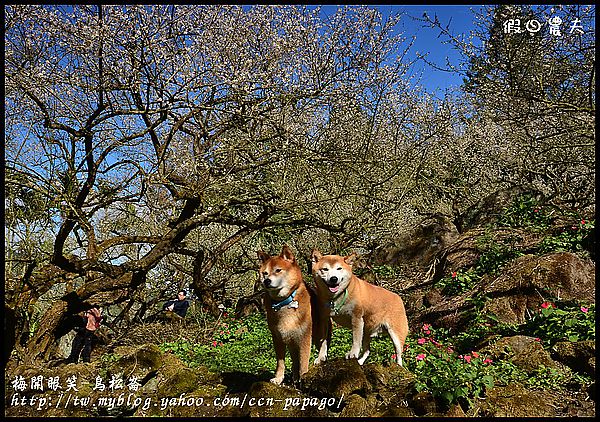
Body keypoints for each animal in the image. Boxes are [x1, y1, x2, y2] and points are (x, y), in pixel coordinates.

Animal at [254, 244, 328, 386]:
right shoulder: (277, 338)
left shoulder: (304, 337)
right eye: (265, 273)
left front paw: (303, 379)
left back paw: (320, 358)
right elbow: (281, 363)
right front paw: (278, 378)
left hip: (318, 332)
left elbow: (303, 363)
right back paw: (294, 378)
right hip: (292, 342)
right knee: (294, 361)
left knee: (323, 343)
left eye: (278, 270)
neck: (283, 302)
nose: (266, 281)